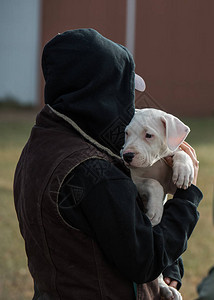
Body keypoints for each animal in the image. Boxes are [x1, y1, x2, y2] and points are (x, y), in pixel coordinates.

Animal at [121, 108, 193, 300]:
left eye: (148, 135)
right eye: (127, 133)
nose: (126, 155)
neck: (155, 163)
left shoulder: (171, 167)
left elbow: (180, 152)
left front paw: (184, 170)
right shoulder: (136, 180)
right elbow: (154, 183)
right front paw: (154, 211)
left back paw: (167, 289)